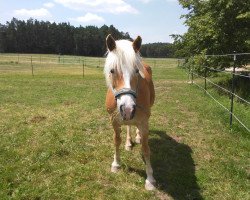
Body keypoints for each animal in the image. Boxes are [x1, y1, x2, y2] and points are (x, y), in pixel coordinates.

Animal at [104, 34, 155, 191]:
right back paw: (128, 142)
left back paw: (137, 137)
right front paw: (116, 164)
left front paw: (150, 179)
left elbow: (146, 148)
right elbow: (116, 141)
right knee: (128, 126)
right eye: (112, 70)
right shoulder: (114, 121)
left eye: (137, 71)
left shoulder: (144, 122)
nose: (127, 108)